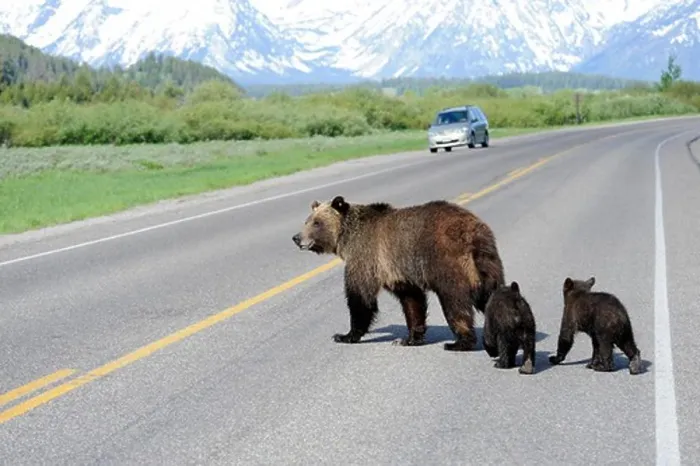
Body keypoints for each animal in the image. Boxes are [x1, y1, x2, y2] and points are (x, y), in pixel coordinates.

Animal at [291, 195, 505, 351]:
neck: (346, 238)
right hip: (488, 264)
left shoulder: (366, 257)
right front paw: (409, 338)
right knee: (493, 295)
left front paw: (345, 335)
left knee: (455, 302)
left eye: (316, 222)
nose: (296, 238)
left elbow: (360, 297)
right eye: (307, 220)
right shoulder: (399, 272)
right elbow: (412, 301)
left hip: (448, 264)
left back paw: (459, 342)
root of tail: (473, 233)